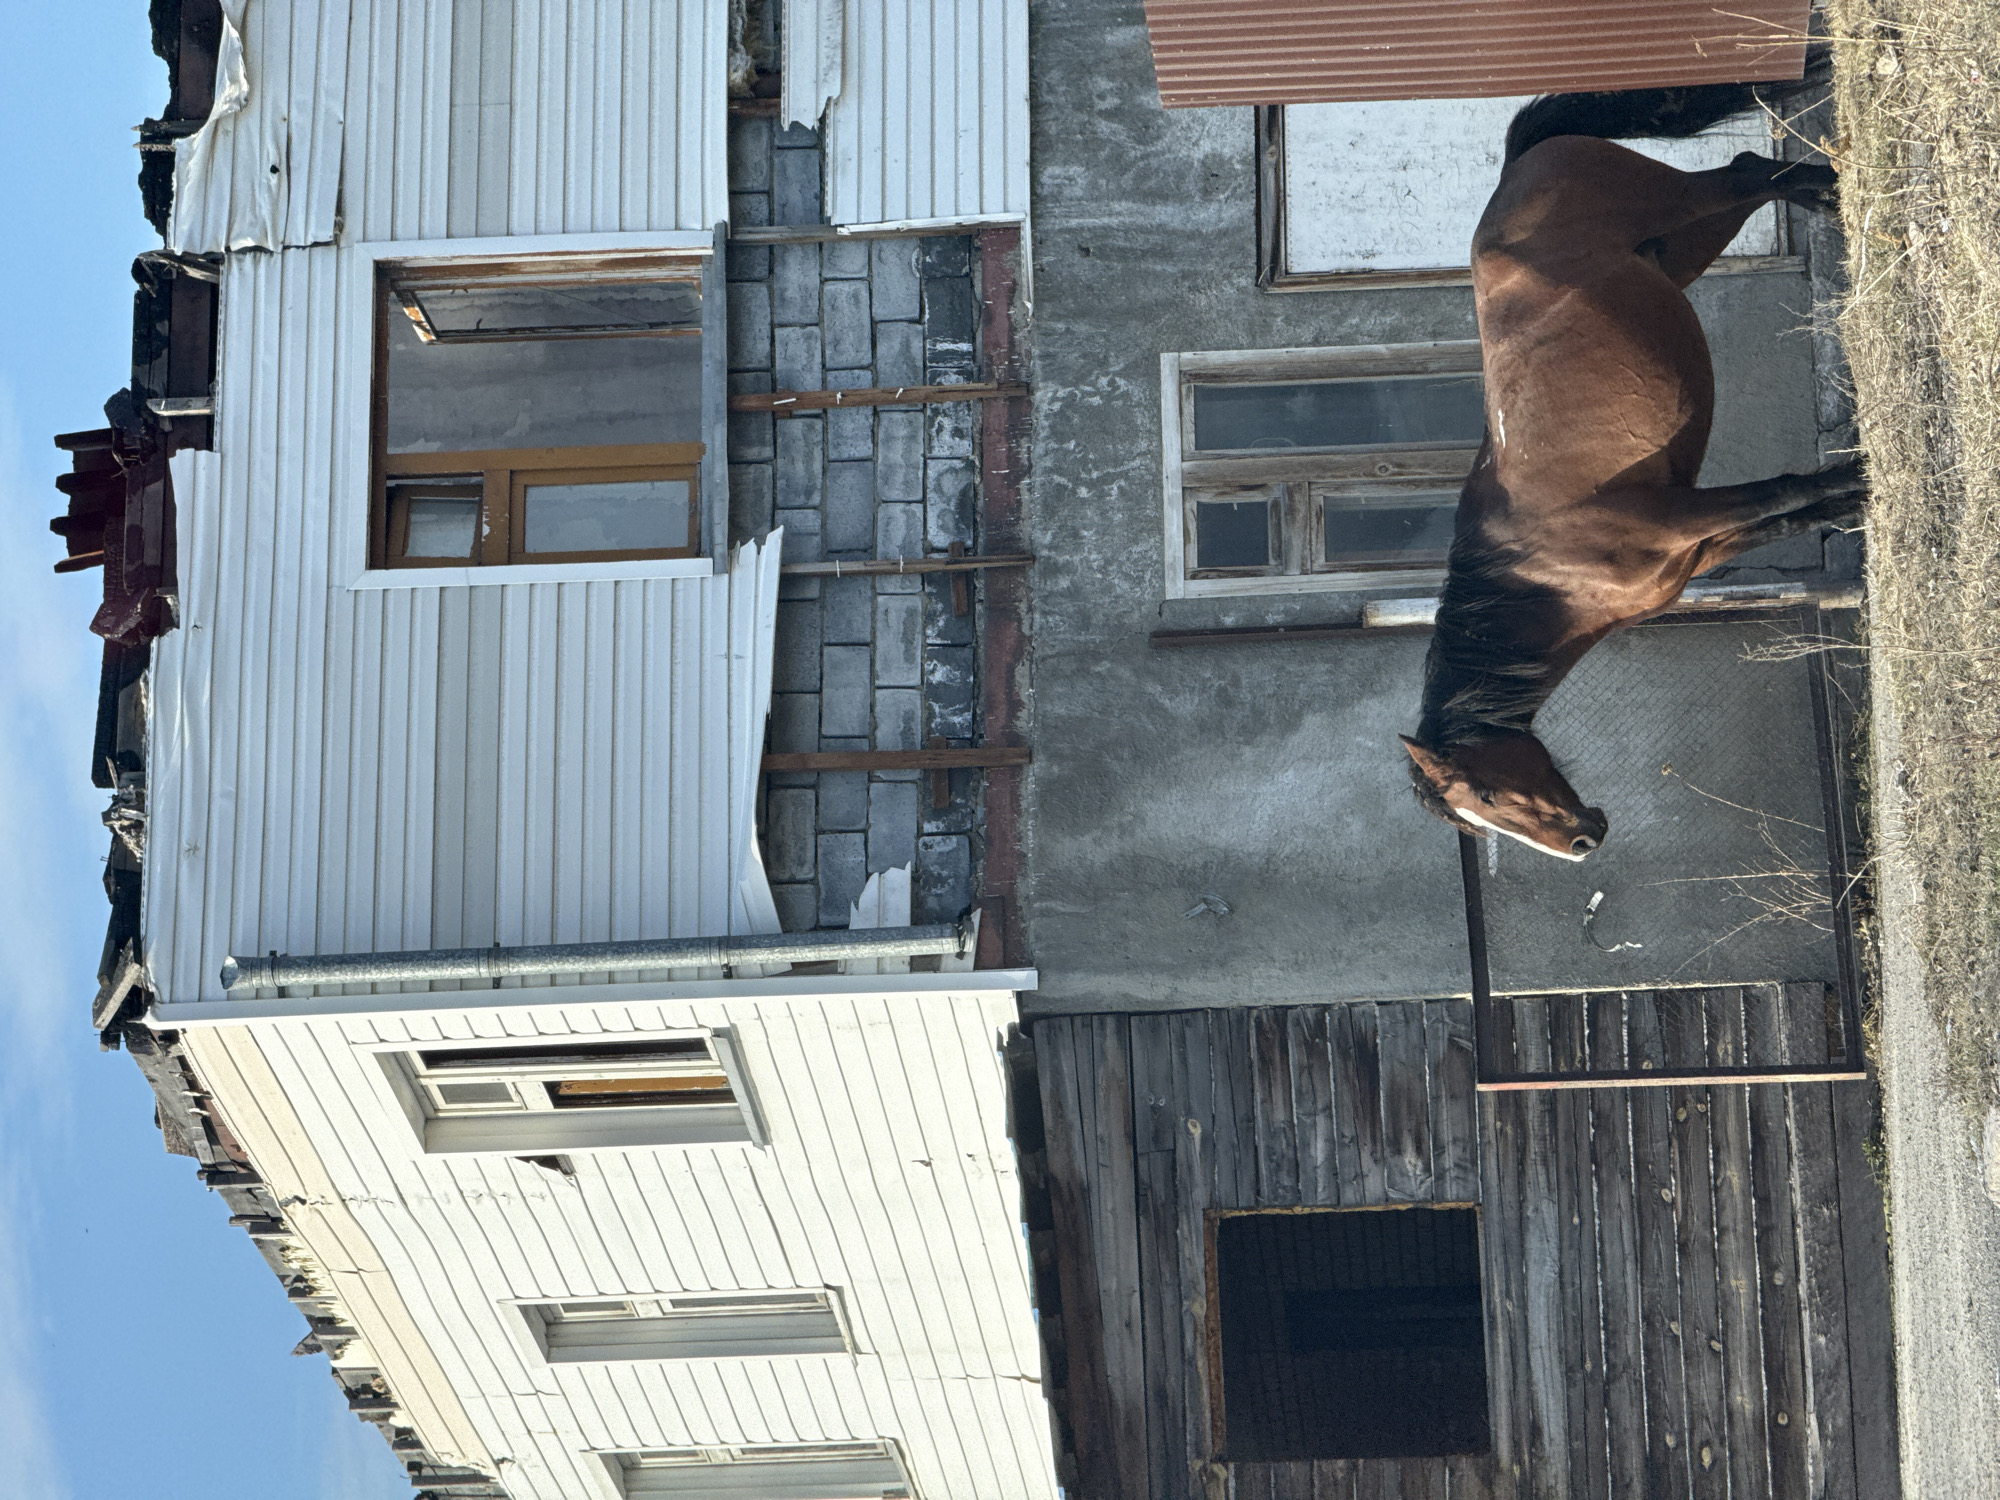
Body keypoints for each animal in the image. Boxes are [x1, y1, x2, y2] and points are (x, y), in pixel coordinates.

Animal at [1401, 80, 1867, 861]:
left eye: (1486, 797)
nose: (1582, 842)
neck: (1546, 568)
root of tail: (1516, 166)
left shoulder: (1684, 513)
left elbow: (1779, 493)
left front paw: (1861, 479)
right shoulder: (1701, 545)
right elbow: (1789, 516)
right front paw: (1854, 504)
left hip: (1681, 209)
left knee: (1745, 174)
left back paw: (1837, 189)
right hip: (1684, 248)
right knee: (1755, 176)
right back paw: (1833, 192)